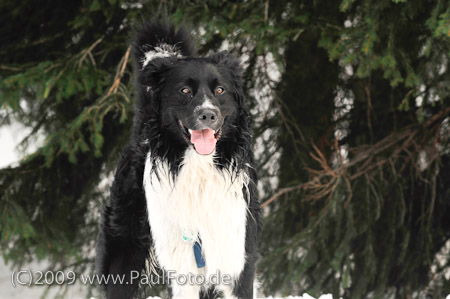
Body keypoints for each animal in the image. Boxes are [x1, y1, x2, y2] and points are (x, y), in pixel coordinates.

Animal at [96, 21, 262, 299]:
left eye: (220, 90)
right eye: (185, 90)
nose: (208, 115)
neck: (199, 169)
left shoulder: (236, 259)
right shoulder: (182, 266)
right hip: (124, 250)